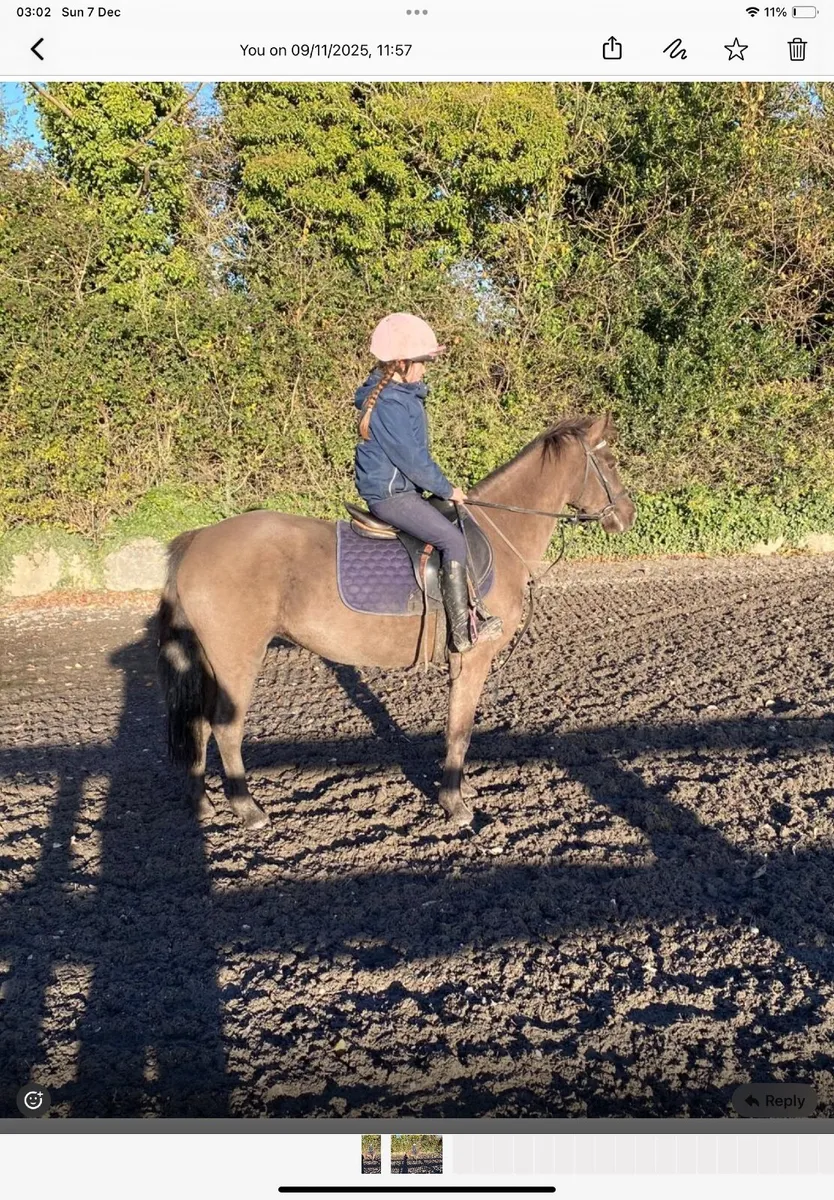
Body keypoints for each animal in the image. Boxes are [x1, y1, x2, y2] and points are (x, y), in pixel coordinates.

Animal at [156, 413, 636, 831]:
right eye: (610, 462)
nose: (627, 515)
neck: (500, 532)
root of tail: (197, 538)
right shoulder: (472, 658)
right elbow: (460, 729)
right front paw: (454, 803)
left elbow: (457, 726)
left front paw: (460, 792)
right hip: (237, 659)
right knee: (225, 727)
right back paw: (248, 810)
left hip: (211, 661)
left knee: (199, 725)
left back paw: (203, 804)